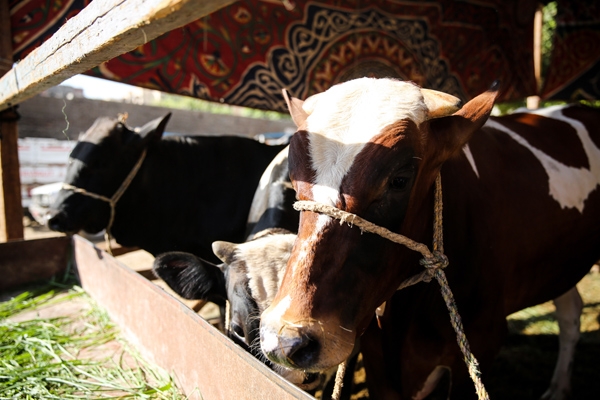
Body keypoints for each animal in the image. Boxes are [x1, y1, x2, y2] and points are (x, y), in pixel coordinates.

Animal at [258, 76, 600, 398]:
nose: (287, 339)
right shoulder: (378, 360)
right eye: (295, 180)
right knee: (570, 311)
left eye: (399, 180)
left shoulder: (483, 342)